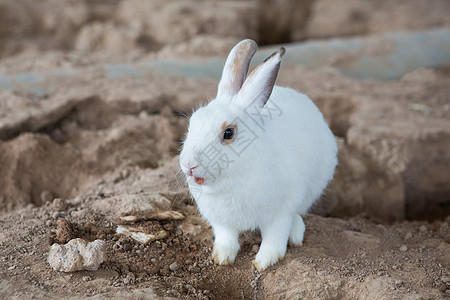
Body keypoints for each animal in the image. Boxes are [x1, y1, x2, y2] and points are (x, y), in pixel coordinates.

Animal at [179, 38, 338, 270]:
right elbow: (226, 238)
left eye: (228, 133)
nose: (188, 164)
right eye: (192, 123)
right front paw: (222, 258)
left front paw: (264, 262)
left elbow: (274, 238)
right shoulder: (222, 221)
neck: (234, 178)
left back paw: (296, 235)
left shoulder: (280, 213)